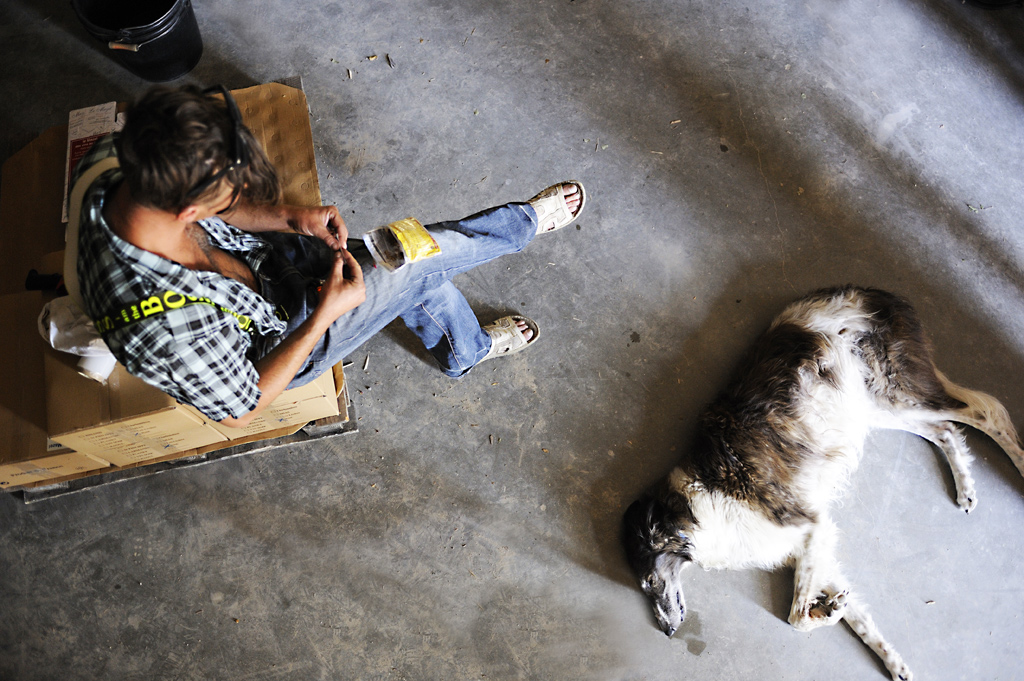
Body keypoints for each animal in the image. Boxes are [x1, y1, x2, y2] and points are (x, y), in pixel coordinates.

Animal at [618, 284, 1024, 679]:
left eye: (649, 583)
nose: (667, 631)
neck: (691, 511)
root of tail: (869, 291)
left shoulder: (811, 527)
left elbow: (795, 617)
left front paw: (825, 611)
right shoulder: (809, 548)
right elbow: (859, 620)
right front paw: (889, 659)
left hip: (891, 393)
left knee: (988, 412)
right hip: (874, 409)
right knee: (946, 429)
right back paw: (966, 488)